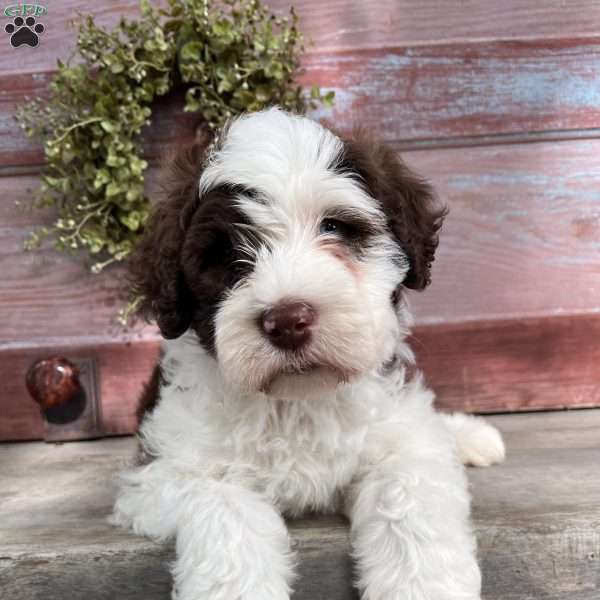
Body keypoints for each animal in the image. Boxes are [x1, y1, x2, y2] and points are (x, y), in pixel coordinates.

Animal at [113, 108, 506, 600]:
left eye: (334, 226)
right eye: (224, 256)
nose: (287, 321)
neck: (298, 400)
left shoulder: (401, 444)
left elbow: (408, 493)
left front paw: (424, 585)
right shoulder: (163, 472)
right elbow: (224, 505)